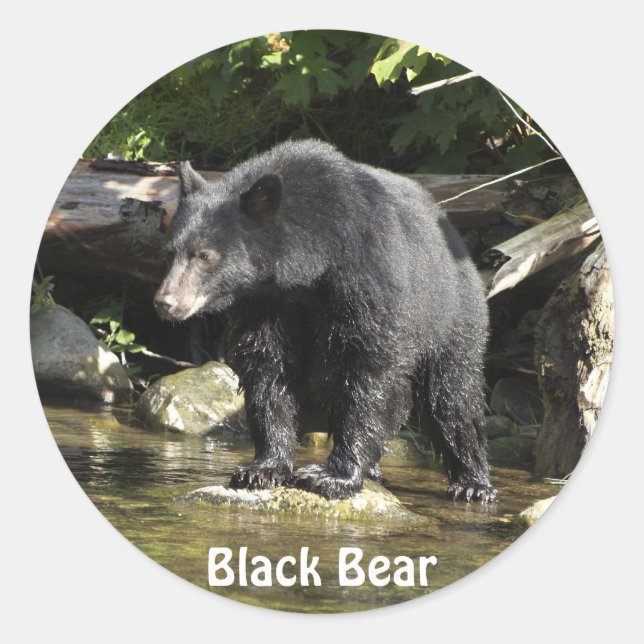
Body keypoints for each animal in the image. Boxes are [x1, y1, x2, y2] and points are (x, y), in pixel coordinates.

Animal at [154, 139, 497, 503]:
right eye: (169, 252)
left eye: (205, 255)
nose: (166, 303)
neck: (312, 263)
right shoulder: (267, 302)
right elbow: (267, 368)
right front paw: (262, 469)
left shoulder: (369, 274)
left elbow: (369, 368)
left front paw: (332, 476)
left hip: (451, 314)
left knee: (452, 395)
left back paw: (473, 483)